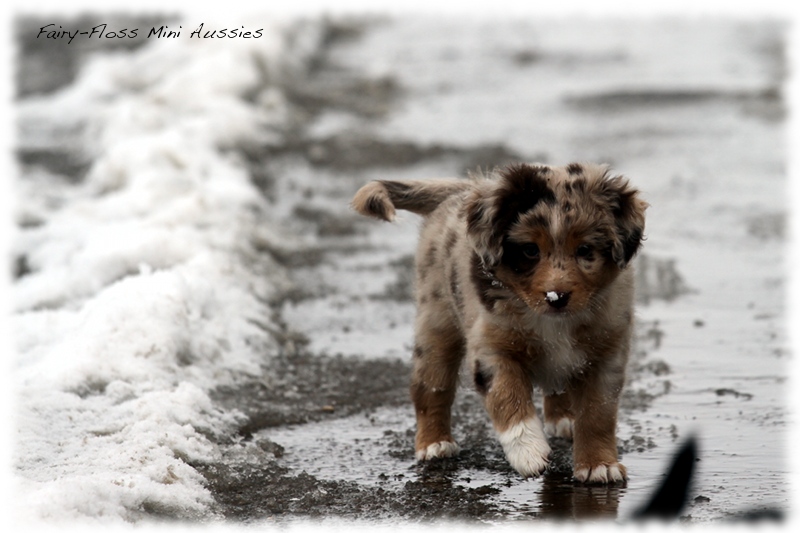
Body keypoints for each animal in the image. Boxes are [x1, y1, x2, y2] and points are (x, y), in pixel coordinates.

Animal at [354, 162, 648, 482]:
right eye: (530, 250)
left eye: (584, 250)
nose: (556, 297)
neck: (553, 321)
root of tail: (465, 189)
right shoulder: (492, 347)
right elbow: (508, 395)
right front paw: (529, 453)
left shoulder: (607, 353)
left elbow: (597, 414)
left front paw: (598, 465)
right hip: (436, 323)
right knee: (430, 388)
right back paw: (434, 444)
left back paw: (563, 419)